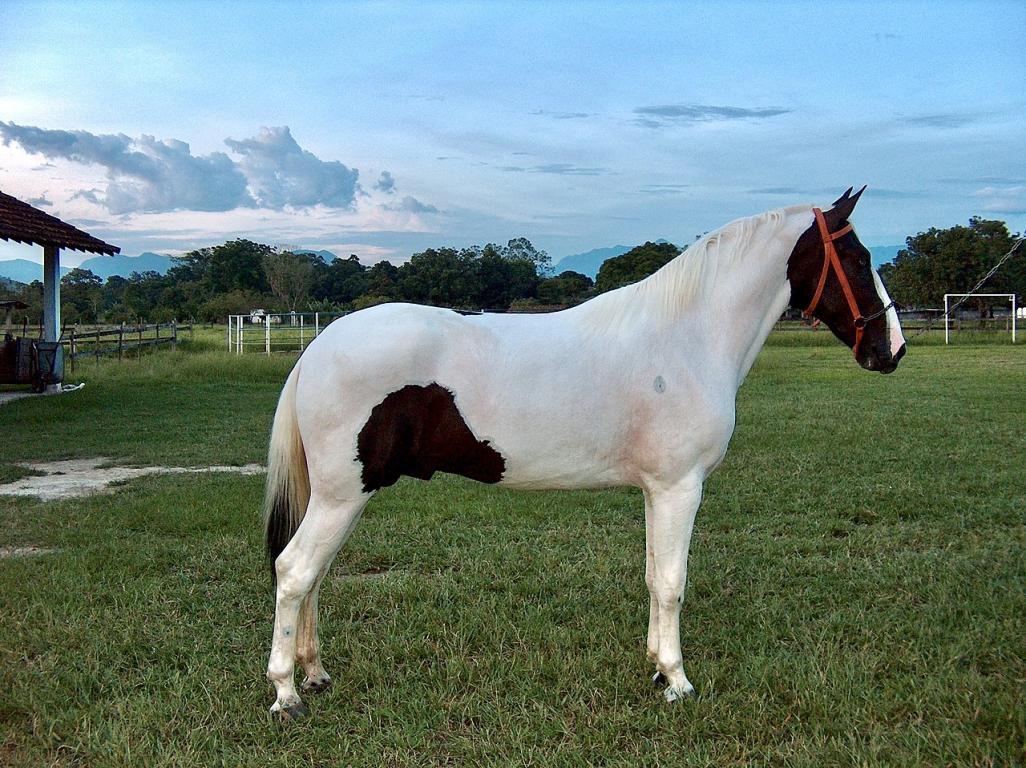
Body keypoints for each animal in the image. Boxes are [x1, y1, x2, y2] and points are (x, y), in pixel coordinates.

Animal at [262, 187, 906, 718]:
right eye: (859, 260)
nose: (891, 350)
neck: (688, 338)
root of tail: (319, 345)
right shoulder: (681, 486)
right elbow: (672, 581)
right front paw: (678, 681)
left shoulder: (658, 490)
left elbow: (652, 575)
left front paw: (655, 666)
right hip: (343, 494)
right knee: (294, 572)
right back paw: (287, 693)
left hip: (341, 495)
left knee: (314, 576)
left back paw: (314, 674)